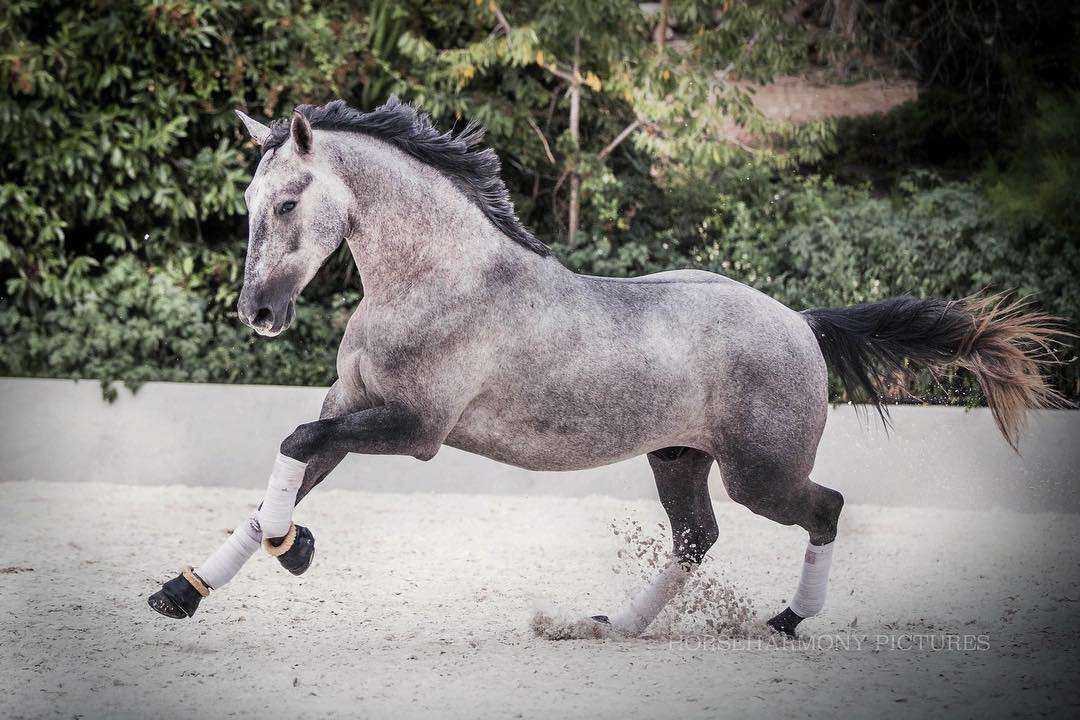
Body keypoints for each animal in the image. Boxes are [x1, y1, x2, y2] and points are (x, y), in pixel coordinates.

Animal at [149, 98, 1066, 637]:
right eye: (247, 205)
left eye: (287, 203)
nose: (258, 315)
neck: (436, 278)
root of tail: (802, 323)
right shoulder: (350, 406)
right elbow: (289, 464)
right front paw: (186, 589)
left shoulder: (414, 430)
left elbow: (294, 447)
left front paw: (294, 550)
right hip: (678, 458)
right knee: (697, 537)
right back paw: (614, 626)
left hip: (760, 472)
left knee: (826, 507)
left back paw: (783, 621)